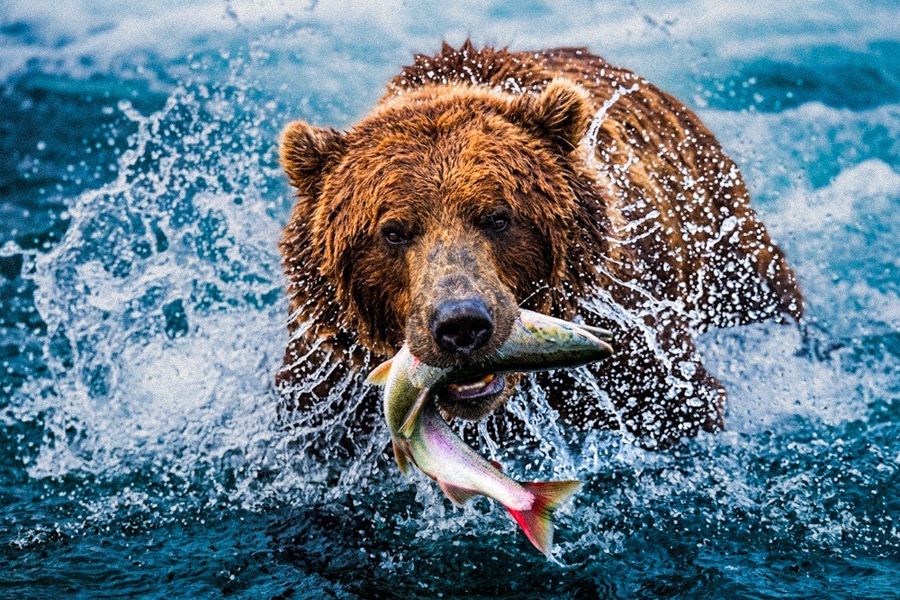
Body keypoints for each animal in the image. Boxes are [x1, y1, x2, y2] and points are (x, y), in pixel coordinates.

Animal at [275, 41, 802, 459]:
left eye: (499, 217)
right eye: (393, 231)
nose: (460, 324)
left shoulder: (626, 350)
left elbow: (681, 405)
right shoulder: (332, 389)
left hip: (727, 245)